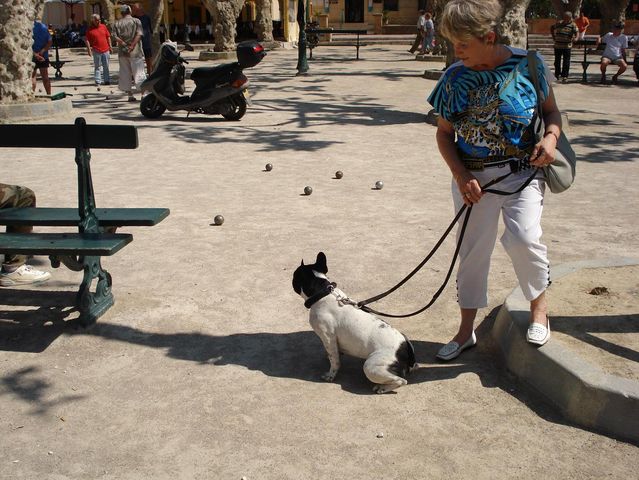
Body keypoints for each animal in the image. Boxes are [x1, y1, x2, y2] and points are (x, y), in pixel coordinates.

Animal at [294, 253, 418, 392]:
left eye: (294, 276)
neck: (323, 293)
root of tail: (407, 350)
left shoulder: (328, 338)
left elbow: (334, 360)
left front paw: (330, 375)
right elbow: (335, 354)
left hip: (370, 366)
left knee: (401, 381)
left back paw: (382, 388)